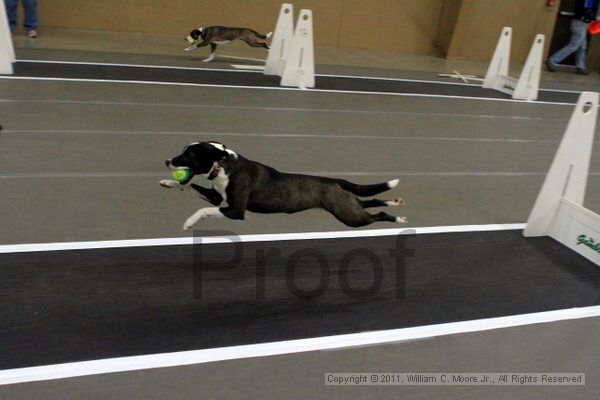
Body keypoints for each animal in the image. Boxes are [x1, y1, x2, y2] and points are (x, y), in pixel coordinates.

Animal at [158, 141, 408, 230]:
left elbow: (203, 209)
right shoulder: (218, 198)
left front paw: (189, 223)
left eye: (190, 155)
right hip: (348, 204)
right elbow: (194, 187)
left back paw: (398, 219)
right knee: (372, 200)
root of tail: (337, 180)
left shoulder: (235, 210)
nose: (167, 161)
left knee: (377, 214)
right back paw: (395, 203)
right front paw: (168, 182)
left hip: (349, 216)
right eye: (183, 150)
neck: (223, 166)